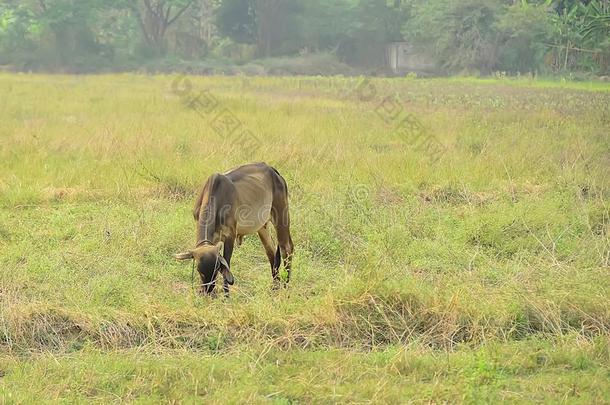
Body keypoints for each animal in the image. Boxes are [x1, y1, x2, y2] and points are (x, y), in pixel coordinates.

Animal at [172, 162, 294, 296]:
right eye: (200, 270)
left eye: (216, 269)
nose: (208, 291)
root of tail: (274, 172)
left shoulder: (230, 235)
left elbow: (227, 263)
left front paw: (226, 295)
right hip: (262, 227)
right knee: (271, 252)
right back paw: (275, 286)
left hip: (281, 217)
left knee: (286, 248)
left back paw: (285, 285)